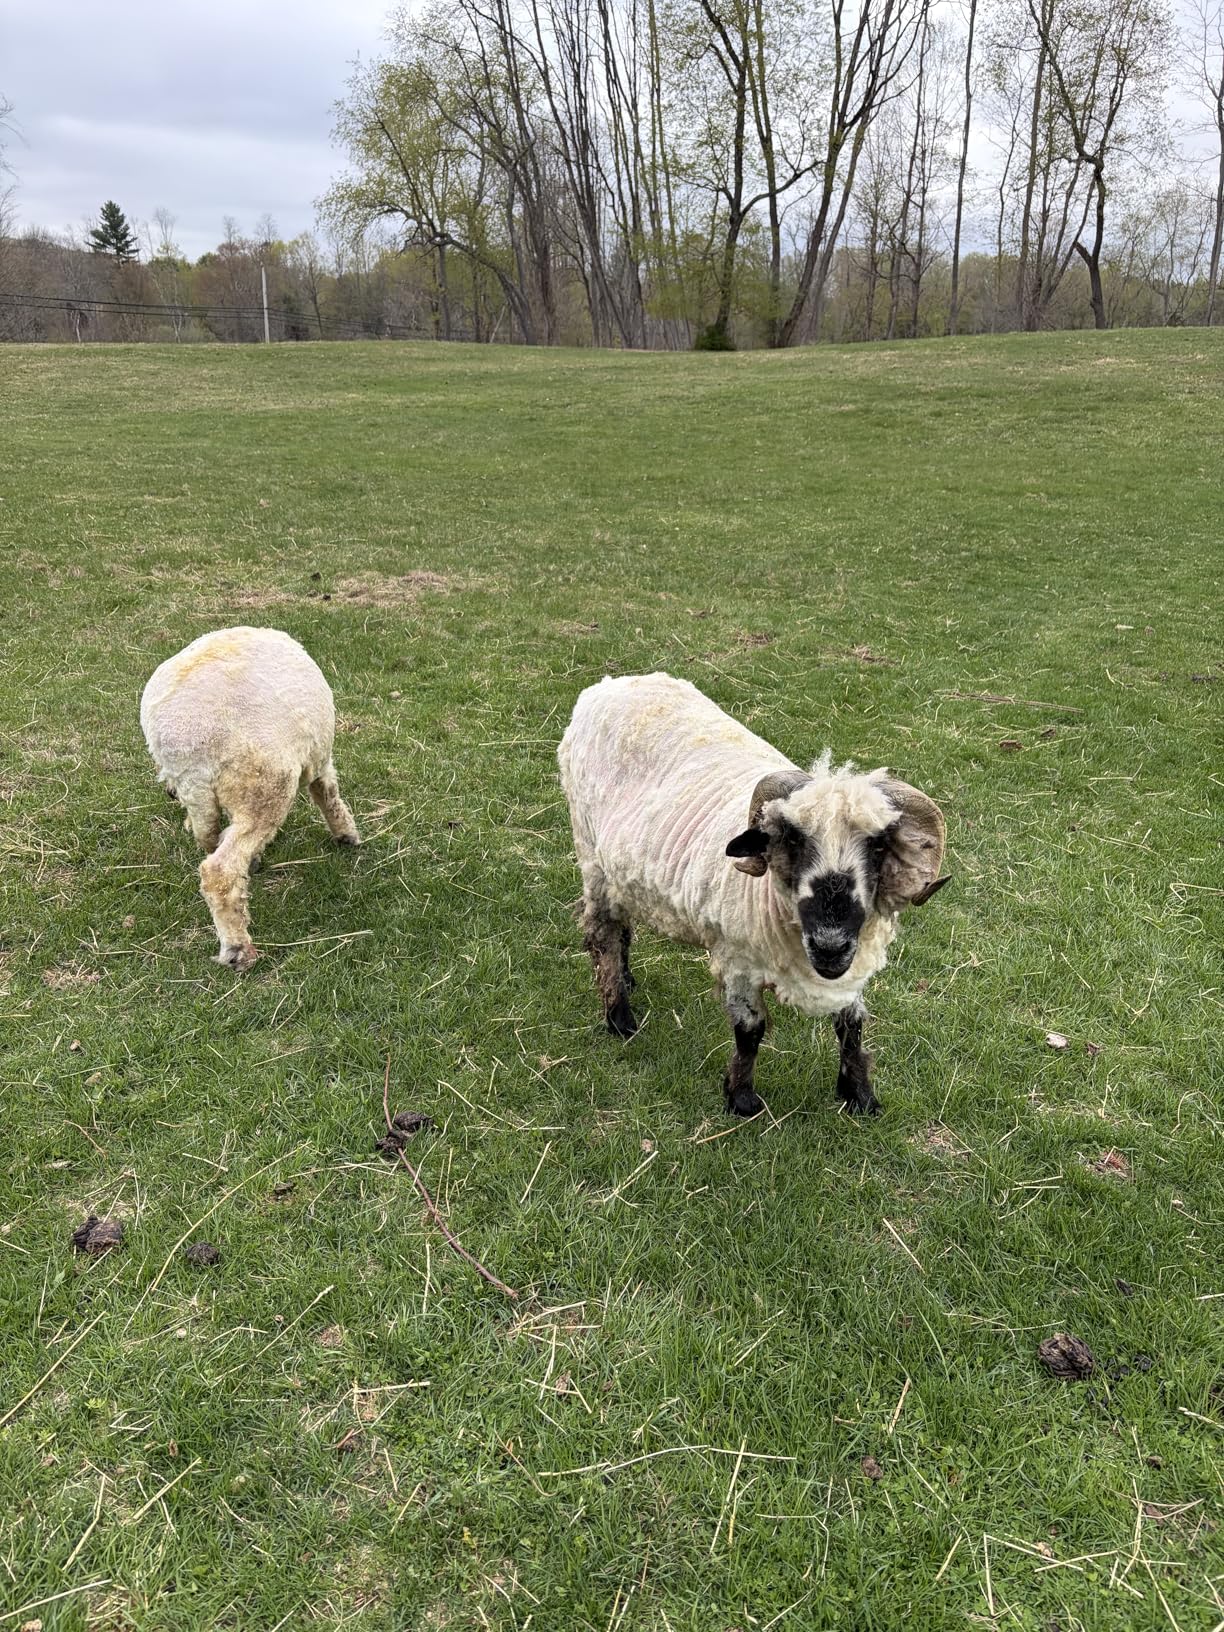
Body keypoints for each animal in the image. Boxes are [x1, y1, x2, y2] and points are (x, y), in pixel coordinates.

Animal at [140, 626, 360, 970]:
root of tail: (186, 750)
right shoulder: (318, 758)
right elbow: (327, 793)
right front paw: (347, 834)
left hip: (212, 790)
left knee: (210, 837)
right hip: (264, 786)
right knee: (219, 871)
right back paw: (238, 949)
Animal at [558, 673, 949, 1117]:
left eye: (880, 845)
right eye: (792, 839)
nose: (829, 945)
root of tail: (613, 683)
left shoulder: (853, 963)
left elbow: (852, 1026)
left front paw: (861, 1096)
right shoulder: (738, 959)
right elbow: (750, 1030)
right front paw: (742, 1098)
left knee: (622, 926)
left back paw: (627, 979)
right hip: (591, 853)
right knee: (603, 933)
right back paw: (619, 1017)